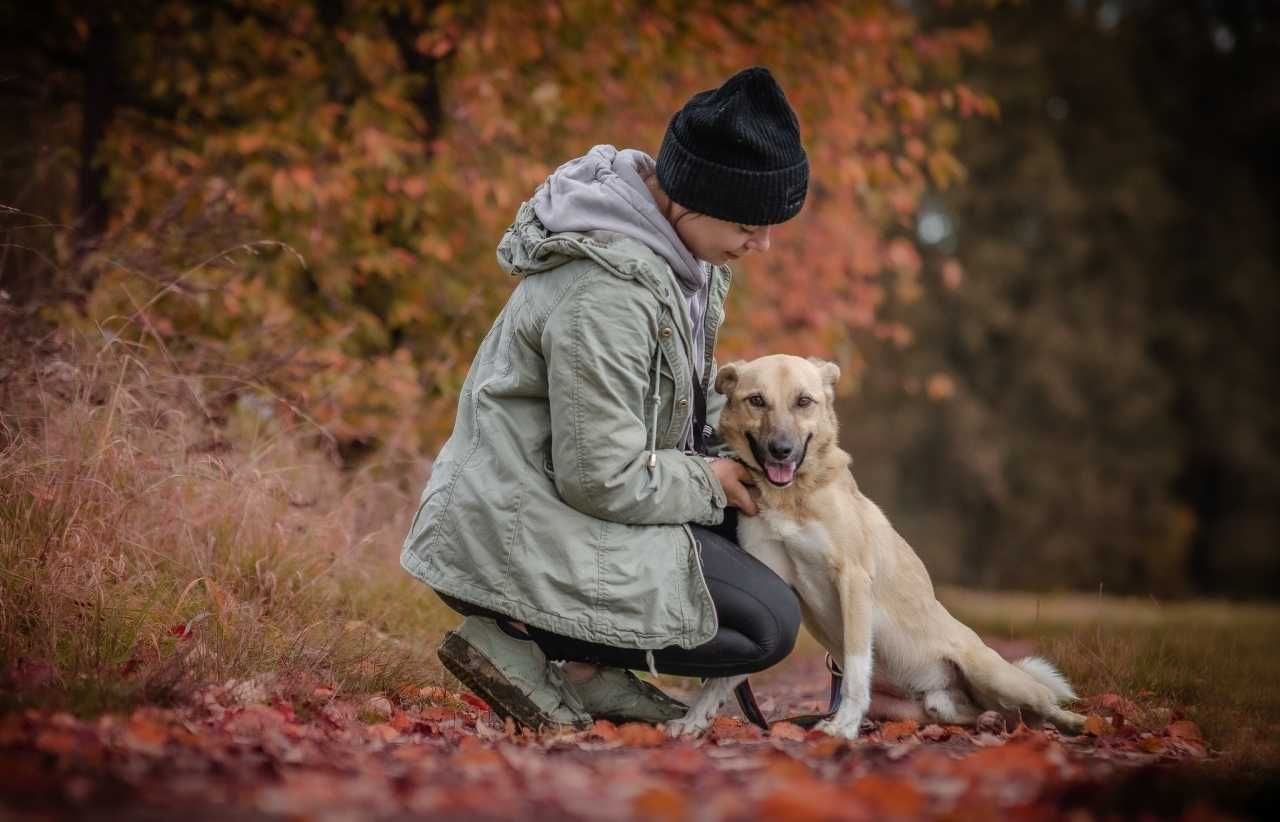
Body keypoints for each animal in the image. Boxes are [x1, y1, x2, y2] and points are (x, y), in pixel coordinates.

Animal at [665, 353, 1085, 737]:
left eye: (804, 401)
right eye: (756, 400)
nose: (781, 450)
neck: (792, 498)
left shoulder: (852, 581)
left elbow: (854, 669)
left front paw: (844, 726)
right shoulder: (776, 578)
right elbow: (723, 678)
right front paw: (694, 719)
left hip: (995, 676)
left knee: (1045, 706)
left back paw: (1080, 723)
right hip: (921, 708)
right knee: (974, 713)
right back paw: (989, 720)